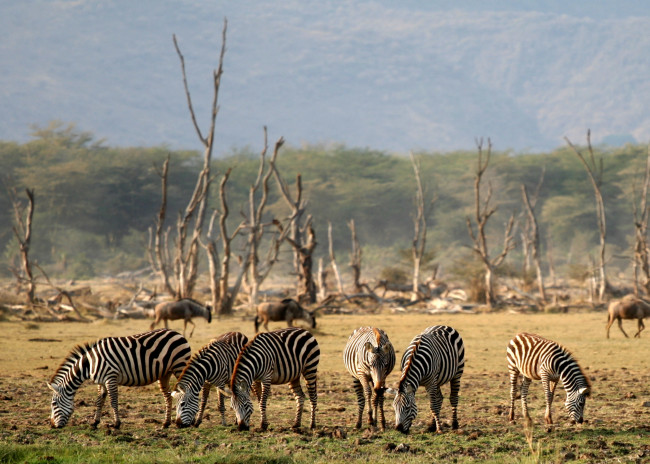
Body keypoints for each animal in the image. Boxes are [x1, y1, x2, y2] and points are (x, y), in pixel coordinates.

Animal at [46, 328, 190, 430]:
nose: (52, 425)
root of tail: (178, 333)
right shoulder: (101, 382)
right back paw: (166, 423)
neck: (90, 364)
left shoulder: (110, 378)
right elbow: (99, 401)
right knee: (168, 396)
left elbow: (113, 401)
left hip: (180, 366)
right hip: (165, 373)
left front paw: (116, 424)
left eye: (54, 404)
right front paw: (95, 422)